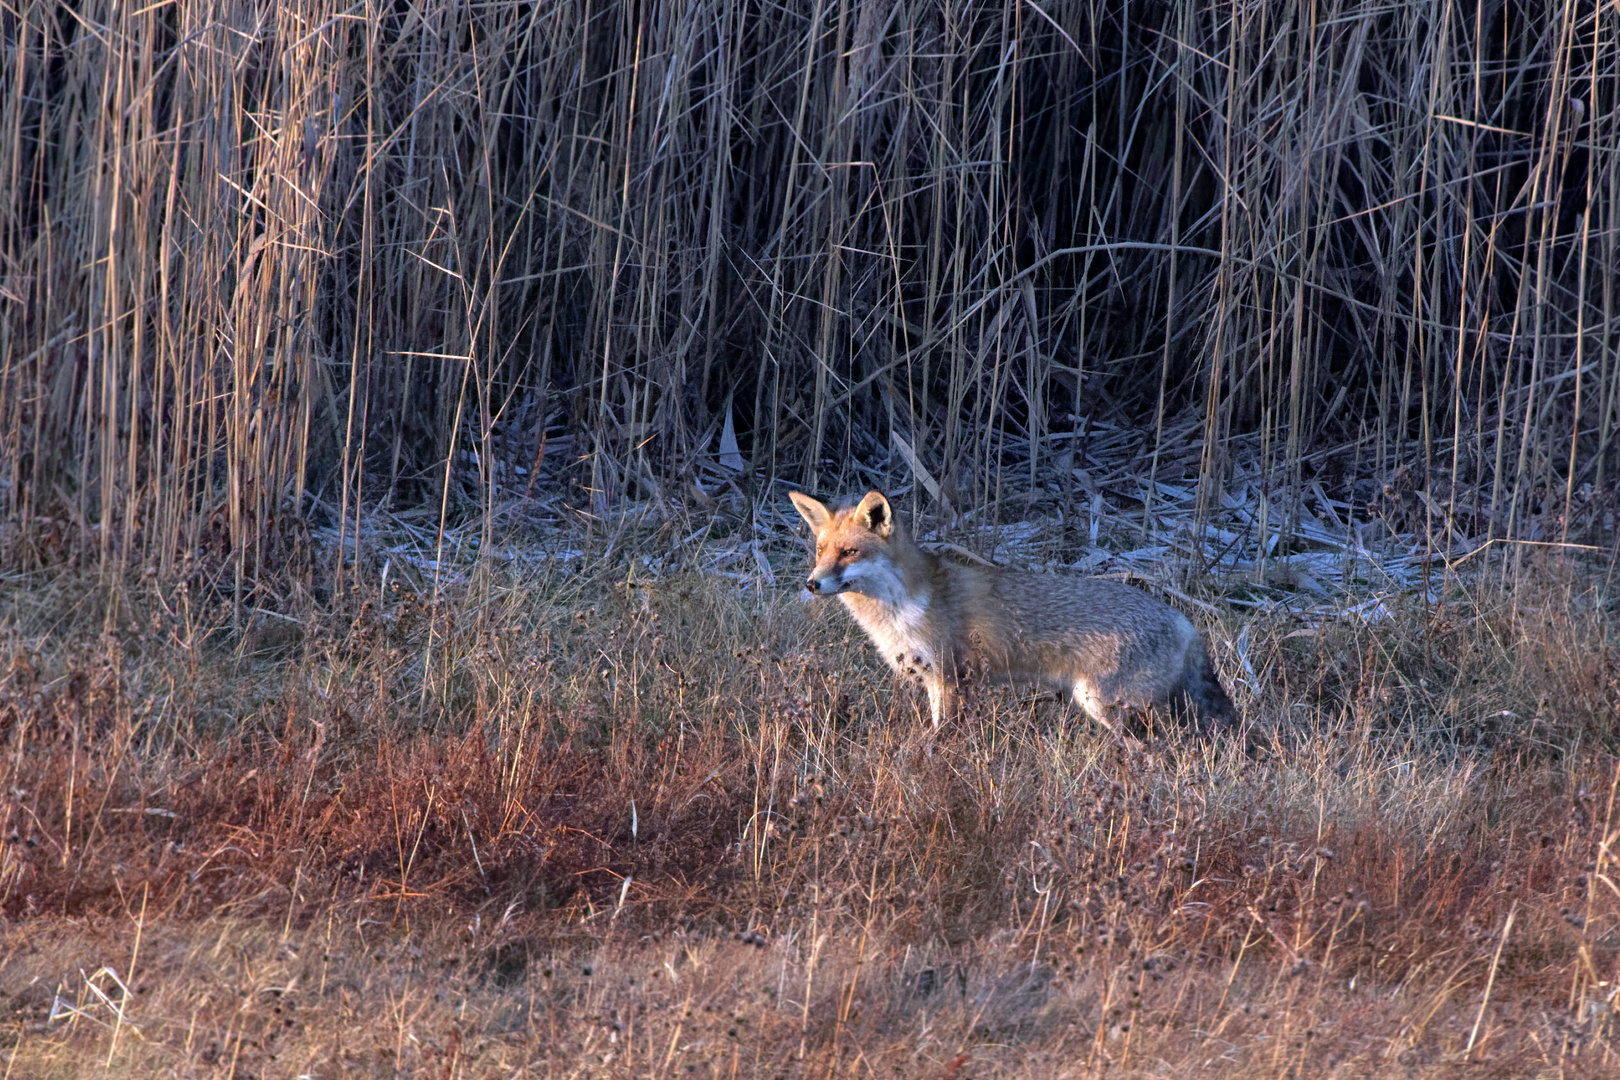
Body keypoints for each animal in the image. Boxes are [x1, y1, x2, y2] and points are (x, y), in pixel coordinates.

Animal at [790, 492, 1231, 735]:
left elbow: (941, 740)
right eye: (820, 550)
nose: (812, 584)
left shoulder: (951, 679)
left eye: (850, 552)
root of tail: (1183, 621)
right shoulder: (940, 682)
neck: (903, 603)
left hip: (1103, 704)